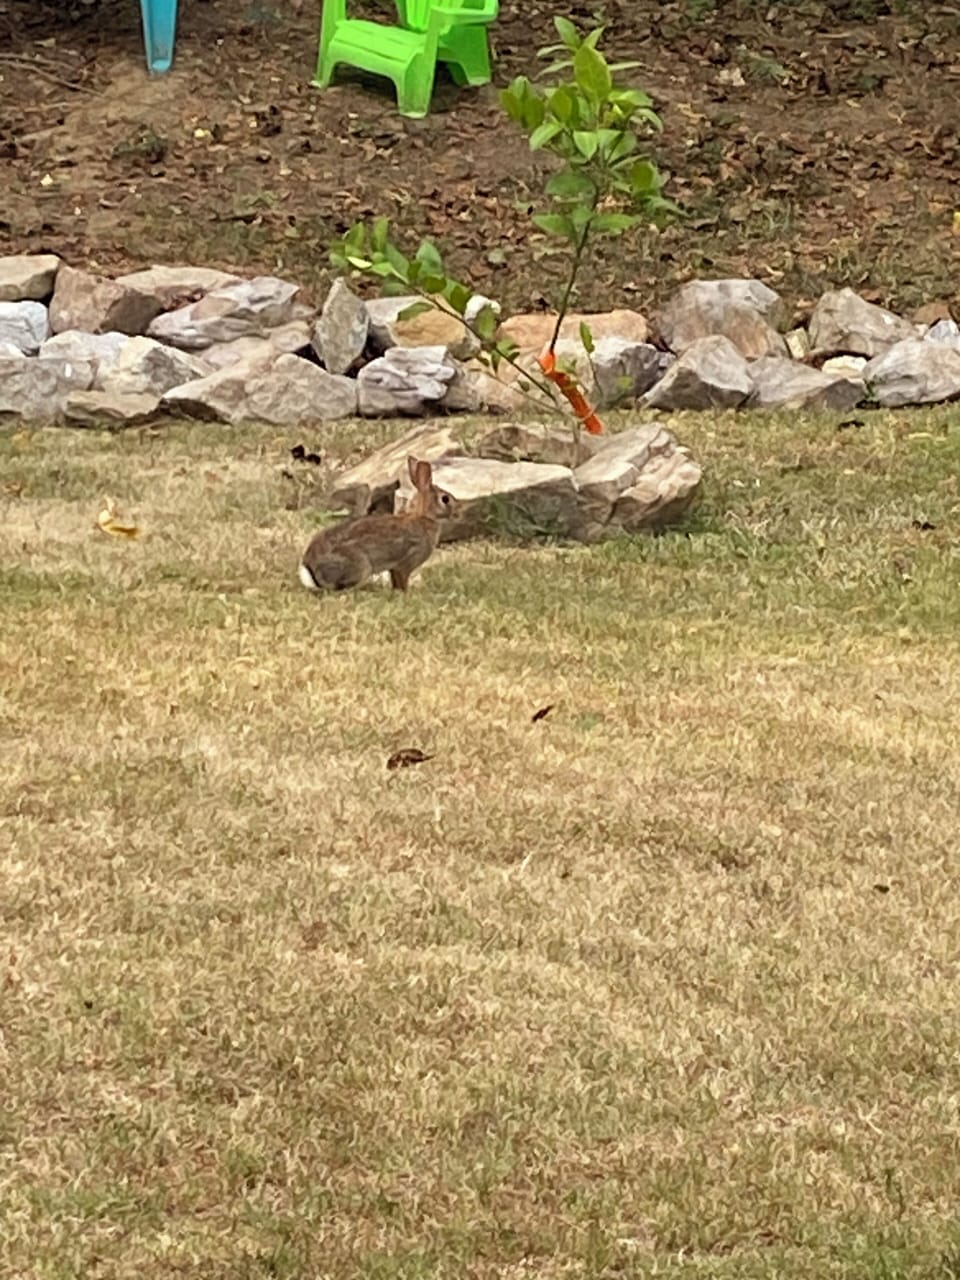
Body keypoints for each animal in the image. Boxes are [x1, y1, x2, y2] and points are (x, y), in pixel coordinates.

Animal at [298, 456, 458, 593]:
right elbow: (402, 580)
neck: (424, 518)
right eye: (445, 499)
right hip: (360, 566)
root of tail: (310, 570)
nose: (457, 512)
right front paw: (406, 594)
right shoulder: (405, 563)